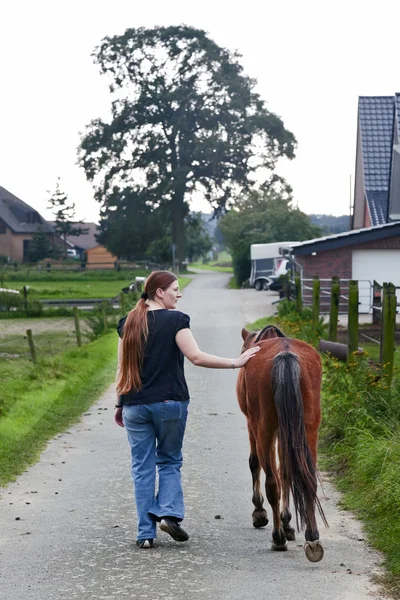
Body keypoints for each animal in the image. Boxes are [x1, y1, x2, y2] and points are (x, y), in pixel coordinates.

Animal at [236, 326, 326, 560]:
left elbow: (255, 463)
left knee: (272, 482)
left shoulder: (252, 424)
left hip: (264, 429)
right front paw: (288, 522)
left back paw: (278, 538)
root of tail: (285, 356)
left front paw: (260, 513)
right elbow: (286, 471)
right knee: (307, 478)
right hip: (308, 430)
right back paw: (312, 537)